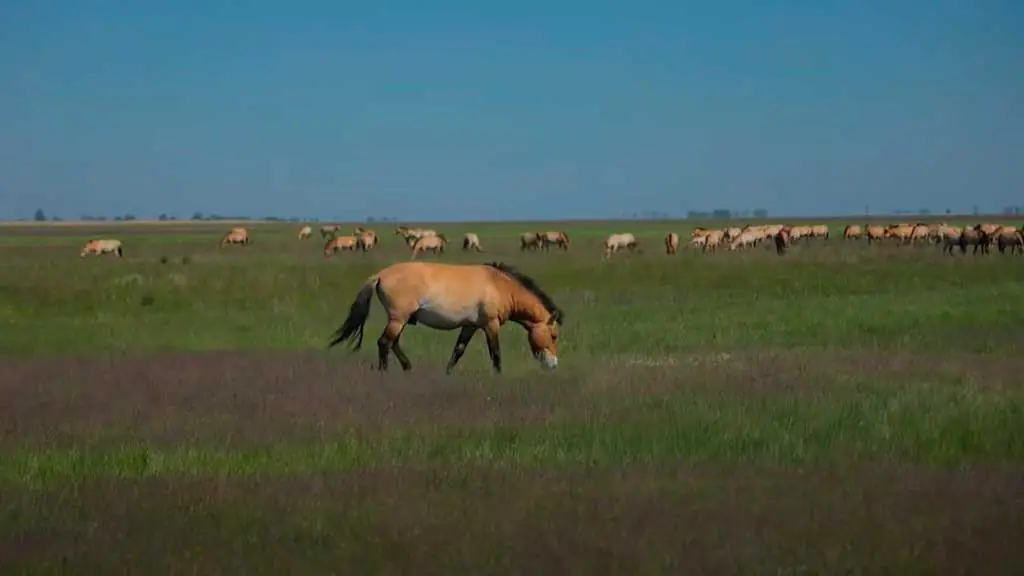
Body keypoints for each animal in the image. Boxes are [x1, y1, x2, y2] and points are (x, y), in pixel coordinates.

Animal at [327, 261, 563, 374]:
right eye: (554, 336)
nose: (553, 365)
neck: (499, 286)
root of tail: (381, 275)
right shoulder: (491, 325)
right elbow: (496, 354)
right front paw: (498, 376)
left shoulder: (470, 326)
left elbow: (458, 351)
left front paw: (448, 373)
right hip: (398, 319)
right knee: (384, 342)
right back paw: (386, 371)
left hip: (400, 320)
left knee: (393, 343)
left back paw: (408, 367)